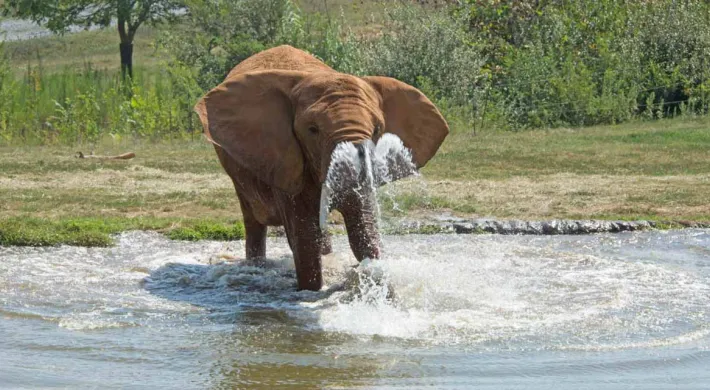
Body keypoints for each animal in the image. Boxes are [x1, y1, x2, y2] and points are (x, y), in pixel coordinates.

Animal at [193, 45, 450, 290]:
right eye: (312, 129)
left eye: (377, 129)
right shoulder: (285, 158)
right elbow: (305, 238)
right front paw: (310, 291)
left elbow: (362, 231)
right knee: (254, 221)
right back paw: (256, 267)